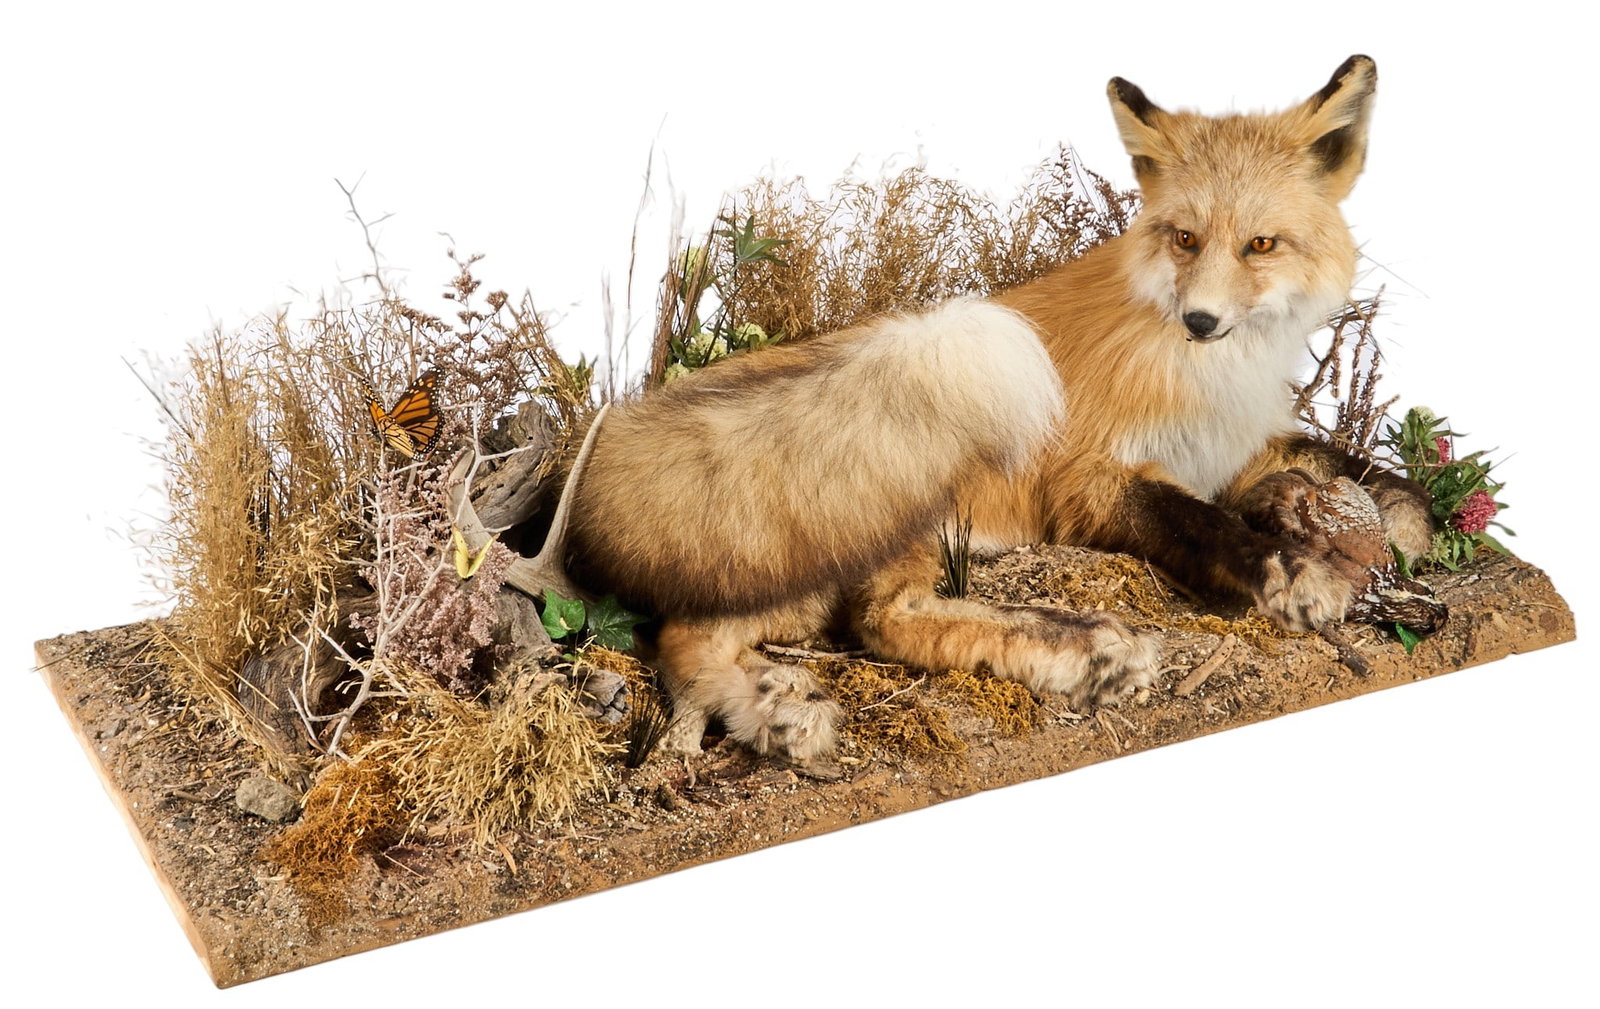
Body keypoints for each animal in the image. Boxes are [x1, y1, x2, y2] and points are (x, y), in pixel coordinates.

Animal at [562, 55, 1432, 769]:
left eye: (1261, 244)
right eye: (1185, 238)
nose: (1201, 320)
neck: (1209, 371)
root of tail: (622, 421)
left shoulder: (1235, 446)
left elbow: (1356, 466)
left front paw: (1407, 519)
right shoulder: (1090, 478)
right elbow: (1200, 522)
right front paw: (1290, 571)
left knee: (687, 637)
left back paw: (775, 710)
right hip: (902, 510)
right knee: (879, 621)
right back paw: (1086, 651)